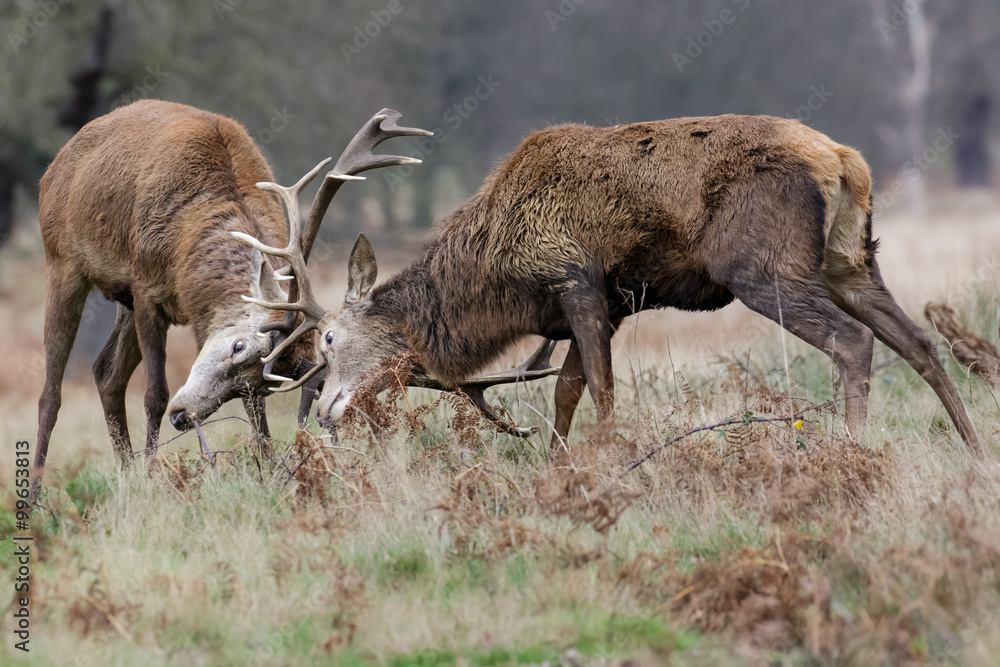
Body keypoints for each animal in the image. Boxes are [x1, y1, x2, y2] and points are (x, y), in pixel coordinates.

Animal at [236, 114, 984, 457]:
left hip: (764, 266)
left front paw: (607, 465)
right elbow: (566, 390)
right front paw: (560, 466)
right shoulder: (612, 305)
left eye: (331, 339)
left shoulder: (578, 280)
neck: (501, 275)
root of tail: (845, 161)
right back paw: (976, 450)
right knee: (920, 341)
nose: (328, 414)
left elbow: (599, 389)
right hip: (852, 258)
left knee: (852, 341)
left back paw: (853, 452)